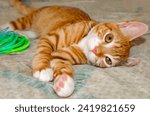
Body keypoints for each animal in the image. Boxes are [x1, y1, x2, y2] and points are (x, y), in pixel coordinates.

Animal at [1, 0, 148, 97]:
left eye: (108, 60)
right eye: (109, 38)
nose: (96, 51)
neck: (82, 42)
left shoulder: (59, 56)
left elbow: (62, 65)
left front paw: (64, 82)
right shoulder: (50, 38)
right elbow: (43, 52)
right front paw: (42, 68)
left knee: (33, 33)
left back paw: (23, 34)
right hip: (29, 19)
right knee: (14, 23)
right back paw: (7, 28)